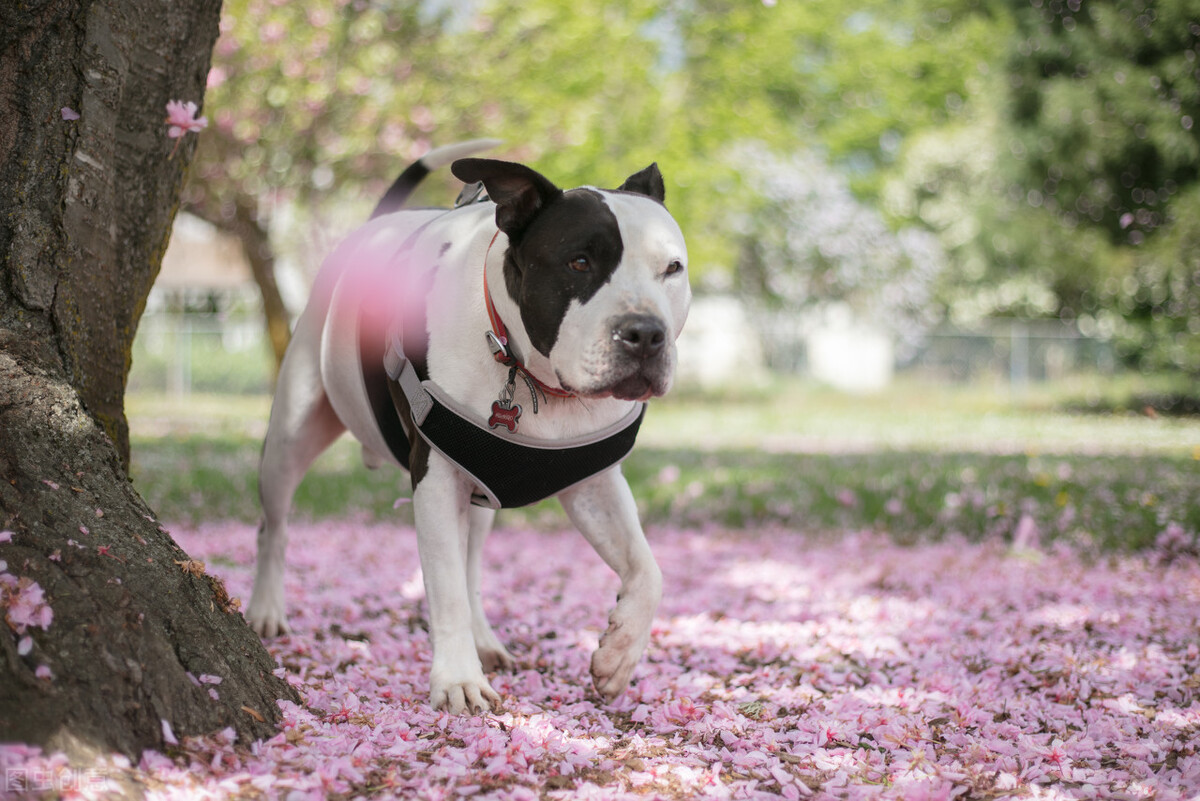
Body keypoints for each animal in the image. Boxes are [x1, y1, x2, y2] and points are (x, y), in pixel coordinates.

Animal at [247, 140, 691, 709]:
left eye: (672, 268)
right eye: (580, 261)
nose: (645, 333)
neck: (527, 370)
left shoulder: (594, 485)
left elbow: (647, 569)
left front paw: (618, 655)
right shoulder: (435, 480)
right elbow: (444, 586)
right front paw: (458, 679)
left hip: (481, 487)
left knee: (472, 562)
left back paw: (486, 639)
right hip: (291, 434)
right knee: (274, 526)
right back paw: (266, 608)